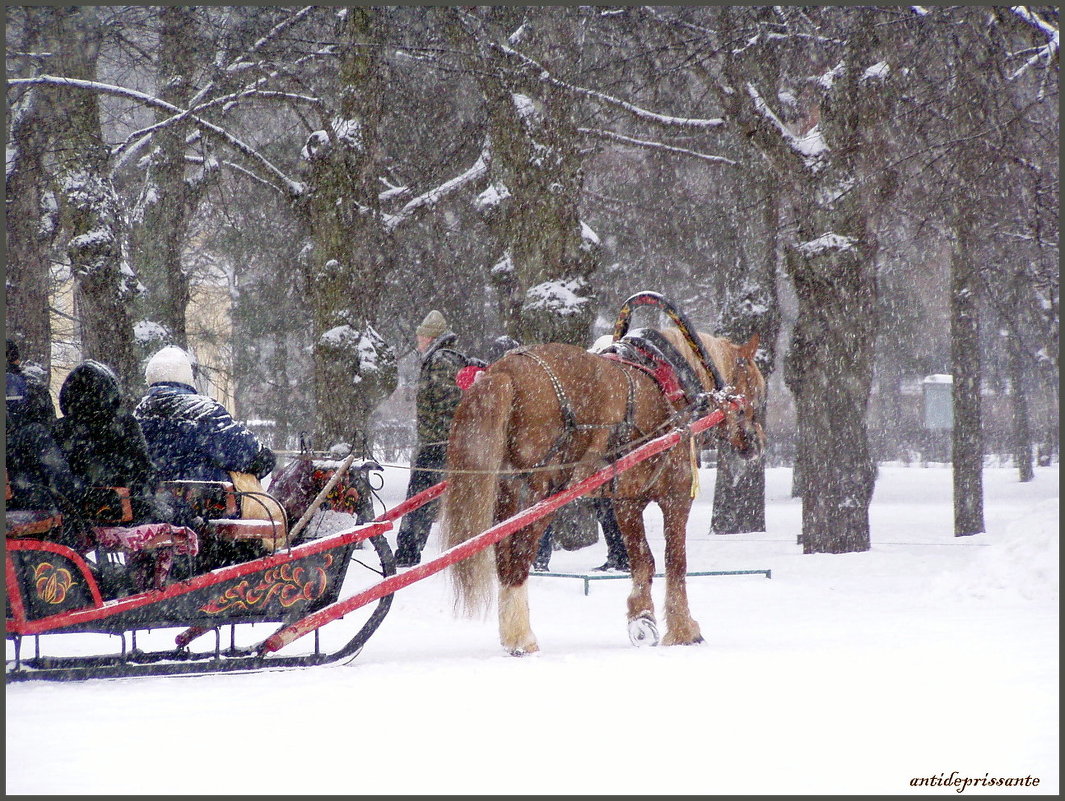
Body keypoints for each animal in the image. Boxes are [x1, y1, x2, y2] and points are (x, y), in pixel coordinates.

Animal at [440, 328, 766, 651]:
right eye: (758, 390)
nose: (758, 442)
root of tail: (506, 370)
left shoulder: (626, 502)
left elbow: (643, 561)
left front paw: (642, 620)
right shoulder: (677, 496)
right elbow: (675, 562)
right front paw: (684, 630)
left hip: (507, 490)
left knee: (503, 554)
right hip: (540, 491)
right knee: (519, 555)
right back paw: (522, 637)